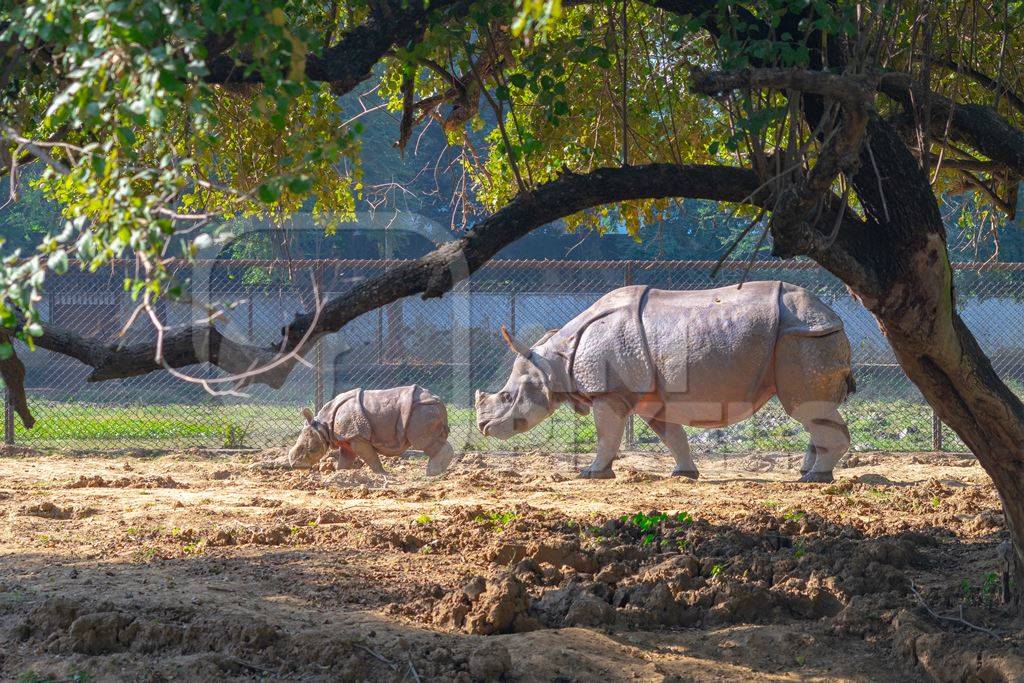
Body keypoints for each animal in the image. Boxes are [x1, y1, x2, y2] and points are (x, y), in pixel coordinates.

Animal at [284, 385, 452, 475]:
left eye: (309, 449)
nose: (295, 466)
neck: (323, 425)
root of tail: (439, 401)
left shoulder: (357, 436)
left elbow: (370, 457)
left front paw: (382, 474)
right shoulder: (347, 438)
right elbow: (345, 460)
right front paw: (340, 474)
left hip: (421, 410)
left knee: (423, 443)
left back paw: (432, 474)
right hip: (425, 409)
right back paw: (436, 472)